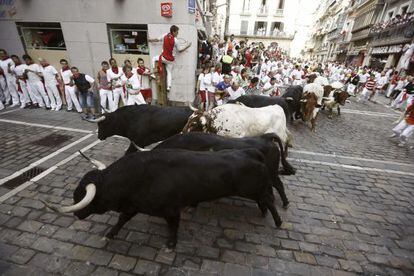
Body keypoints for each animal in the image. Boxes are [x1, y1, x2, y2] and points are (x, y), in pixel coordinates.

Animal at [43, 150, 282, 249]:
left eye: (84, 196)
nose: (77, 213)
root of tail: (253, 153)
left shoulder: (171, 210)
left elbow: (173, 227)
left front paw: (170, 245)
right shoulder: (132, 206)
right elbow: (121, 220)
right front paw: (109, 235)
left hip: (256, 189)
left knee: (269, 199)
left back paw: (278, 221)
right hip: (255, 190)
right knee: (265, 201)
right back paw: (263, 213)